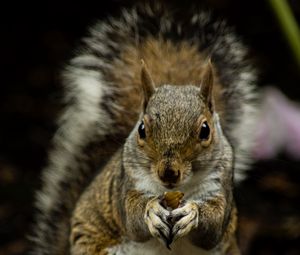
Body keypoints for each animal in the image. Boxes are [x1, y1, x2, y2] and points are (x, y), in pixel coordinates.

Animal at [31, 2, 258, 255]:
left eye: (205, 130)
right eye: (141, 129)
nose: (169, 173)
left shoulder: (220, 186)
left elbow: (213, 227)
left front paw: (192, 213)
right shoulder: (127, 182)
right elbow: (132, 218)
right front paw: (150, 210)